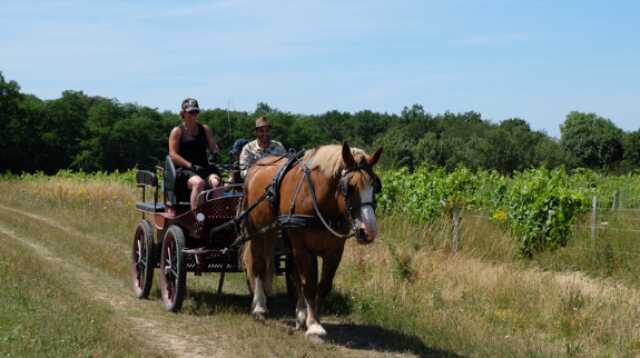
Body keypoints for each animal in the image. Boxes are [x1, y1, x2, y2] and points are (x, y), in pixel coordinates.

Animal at [239, 141, 380, 338]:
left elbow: (323, 285)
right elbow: (310, 284)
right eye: (349, 187)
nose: (369, 231)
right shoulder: (303, 249)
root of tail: (256, 168)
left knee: (293, 274)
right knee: (258, 265)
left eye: (375, 186)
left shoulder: (334, 251)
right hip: (258, 233)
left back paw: (299, 314)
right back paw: (260, 307)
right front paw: (313, 325)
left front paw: (312, 318)